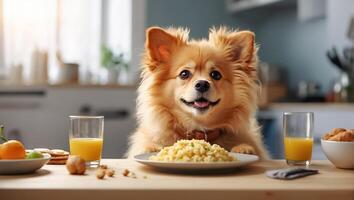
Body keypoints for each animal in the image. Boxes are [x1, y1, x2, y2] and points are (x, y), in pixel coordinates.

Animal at [127, 25, 268, 159]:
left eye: (216, 75)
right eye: (184, 74)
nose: (202, 84)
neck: (198, 129)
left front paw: (244, 149)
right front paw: (150, 148)